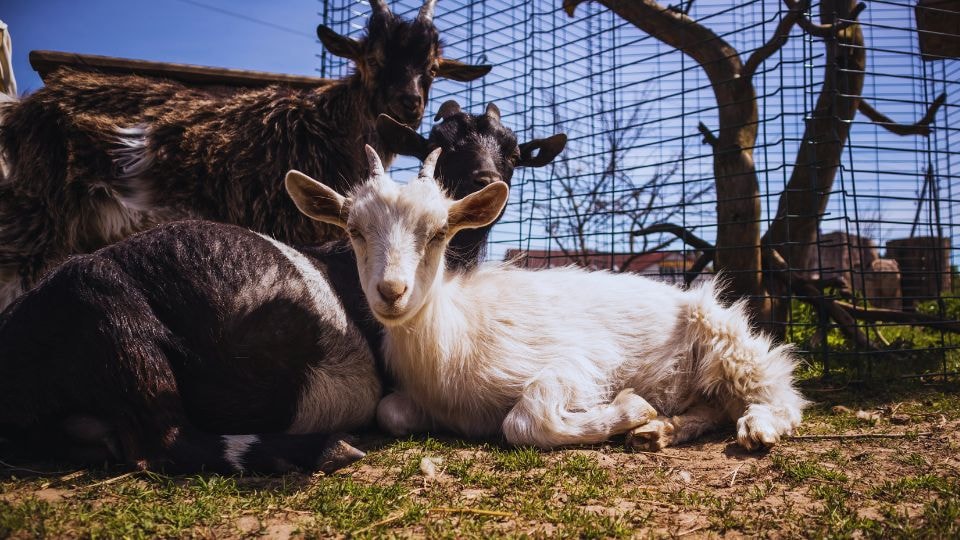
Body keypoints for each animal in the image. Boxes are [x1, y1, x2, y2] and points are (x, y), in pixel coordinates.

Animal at [0, 104, 568, 472]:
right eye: (440, 144)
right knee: (167, 441)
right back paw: (324, 450)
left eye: (513, 150)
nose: (484, 178)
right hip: (109, 316)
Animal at [286, 146, 808, 450]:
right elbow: (388, 413)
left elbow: (525, 421)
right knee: (715, 408)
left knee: (778, 390)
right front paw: (643, 418)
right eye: (354, 230)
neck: (451, 333)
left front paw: (631, 409)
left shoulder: (579, 361)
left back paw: (756, 428)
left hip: (729, 340)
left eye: (439, 232)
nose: (392, 292)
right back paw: (662, 430)